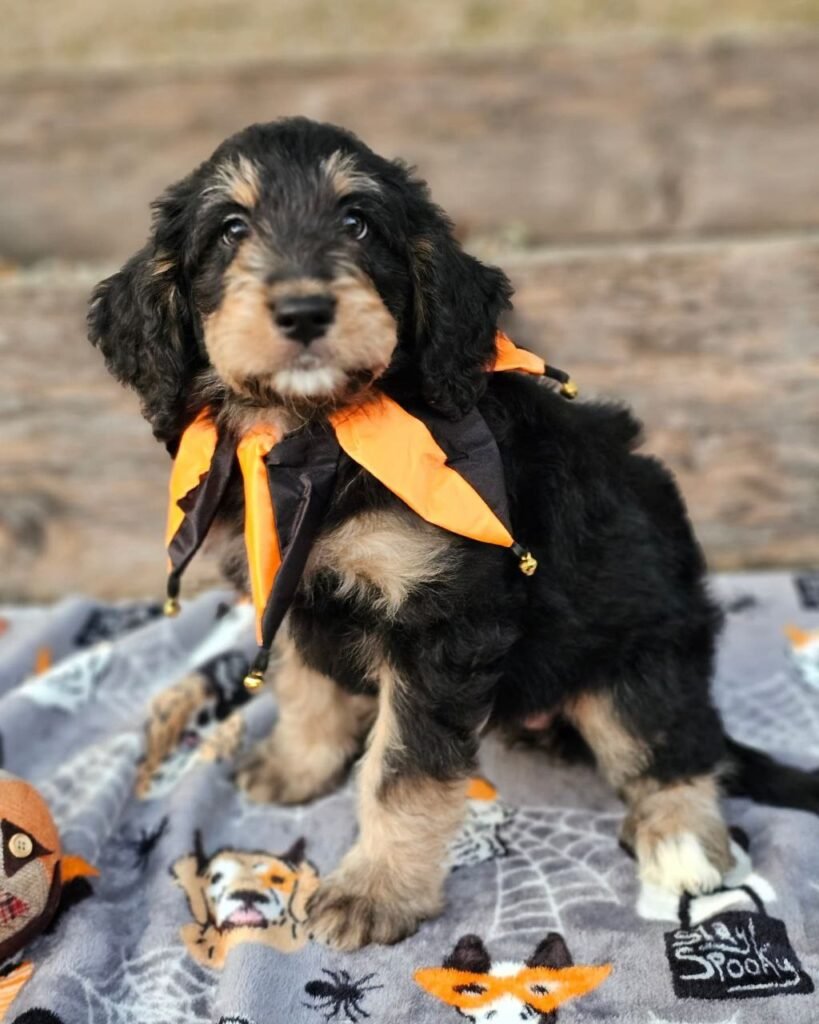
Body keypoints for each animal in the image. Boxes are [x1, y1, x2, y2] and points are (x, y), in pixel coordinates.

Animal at [89, 117, 818, 950]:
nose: (303, 311)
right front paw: (298, 766)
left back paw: (678, 840)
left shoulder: (441, 622)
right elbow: (306, 687)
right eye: (231, 230)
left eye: (356, 222)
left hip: (642, 655)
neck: (321, 436)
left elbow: (401, 769)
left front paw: (374, 890)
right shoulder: (292, 586)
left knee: (673, 745)